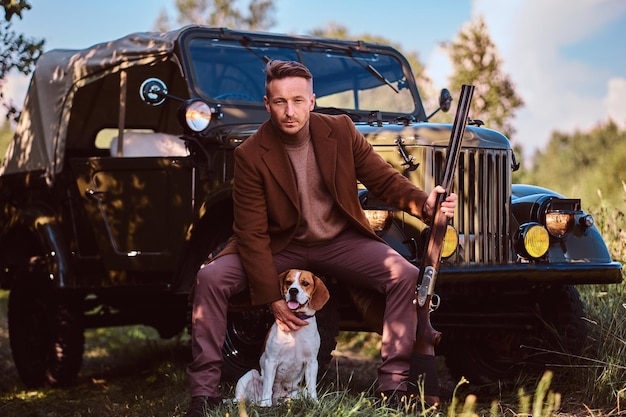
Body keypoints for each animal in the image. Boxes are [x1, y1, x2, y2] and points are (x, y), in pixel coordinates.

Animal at [234, 268, 330, 404]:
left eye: (305, 283)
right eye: (288, 282)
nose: (293, 290)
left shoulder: (312, 362)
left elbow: (312, 387)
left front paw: (314, 402)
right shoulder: (271, 361)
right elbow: (268, 387)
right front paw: (266, 404)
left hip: (299, 392)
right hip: (249, 376)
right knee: (240, 399)